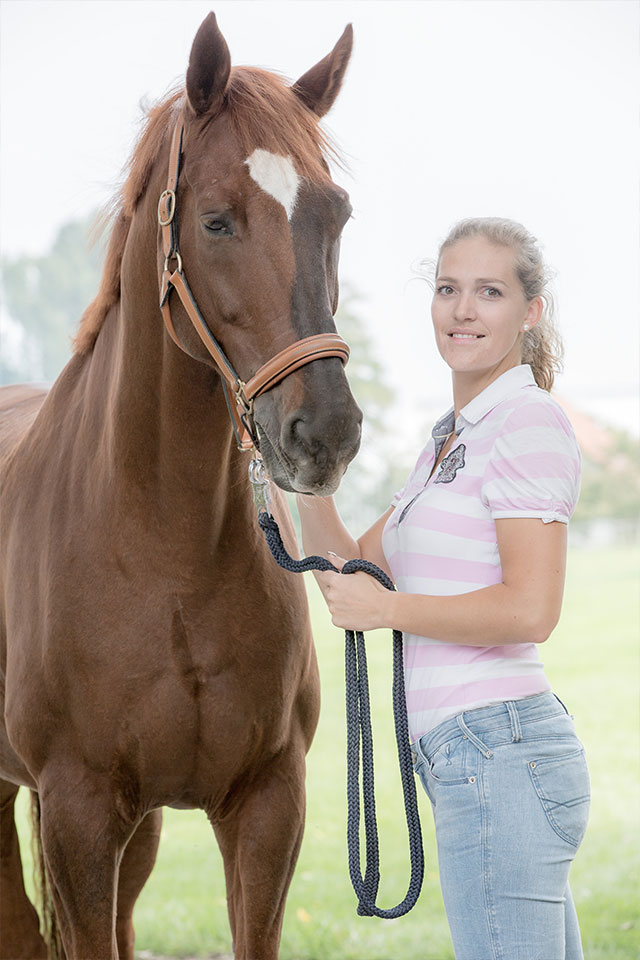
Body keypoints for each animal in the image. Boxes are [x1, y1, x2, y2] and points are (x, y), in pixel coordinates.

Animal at [0, 11, 360, 956]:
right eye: (217, 221)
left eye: (336, 213)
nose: (327, 433)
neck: (163, 551)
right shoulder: (79, 813)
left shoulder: (267, 808)